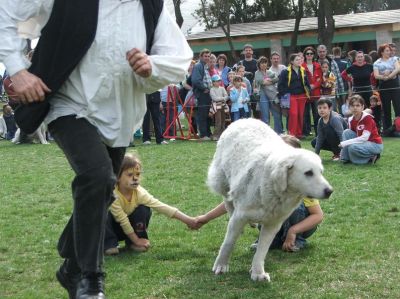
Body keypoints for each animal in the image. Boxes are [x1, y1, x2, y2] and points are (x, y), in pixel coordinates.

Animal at [208, 118, 332, 282]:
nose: (329, 191)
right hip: (221, 180)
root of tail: (244, 119)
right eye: (308, 173)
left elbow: (261, 251)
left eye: (321, 172)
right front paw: (221, 265)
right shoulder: (240, 217)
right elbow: (228, 243)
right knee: (227, 199)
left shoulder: (273, 224)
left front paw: (258, 273)